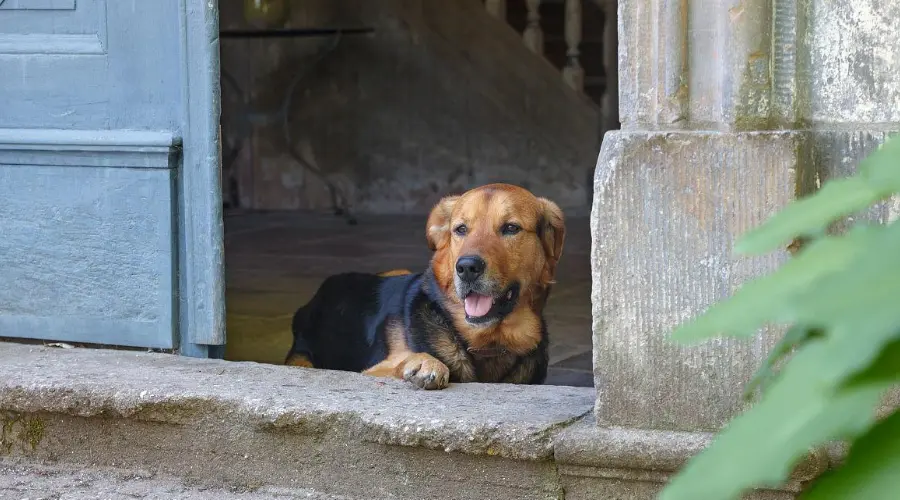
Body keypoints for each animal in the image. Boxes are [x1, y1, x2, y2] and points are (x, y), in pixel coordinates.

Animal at [284, 184, 564, 390]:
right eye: (460, 229)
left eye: (511, 228)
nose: (467, 267)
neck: (487, 342)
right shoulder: (374, 369)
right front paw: (425, 363)